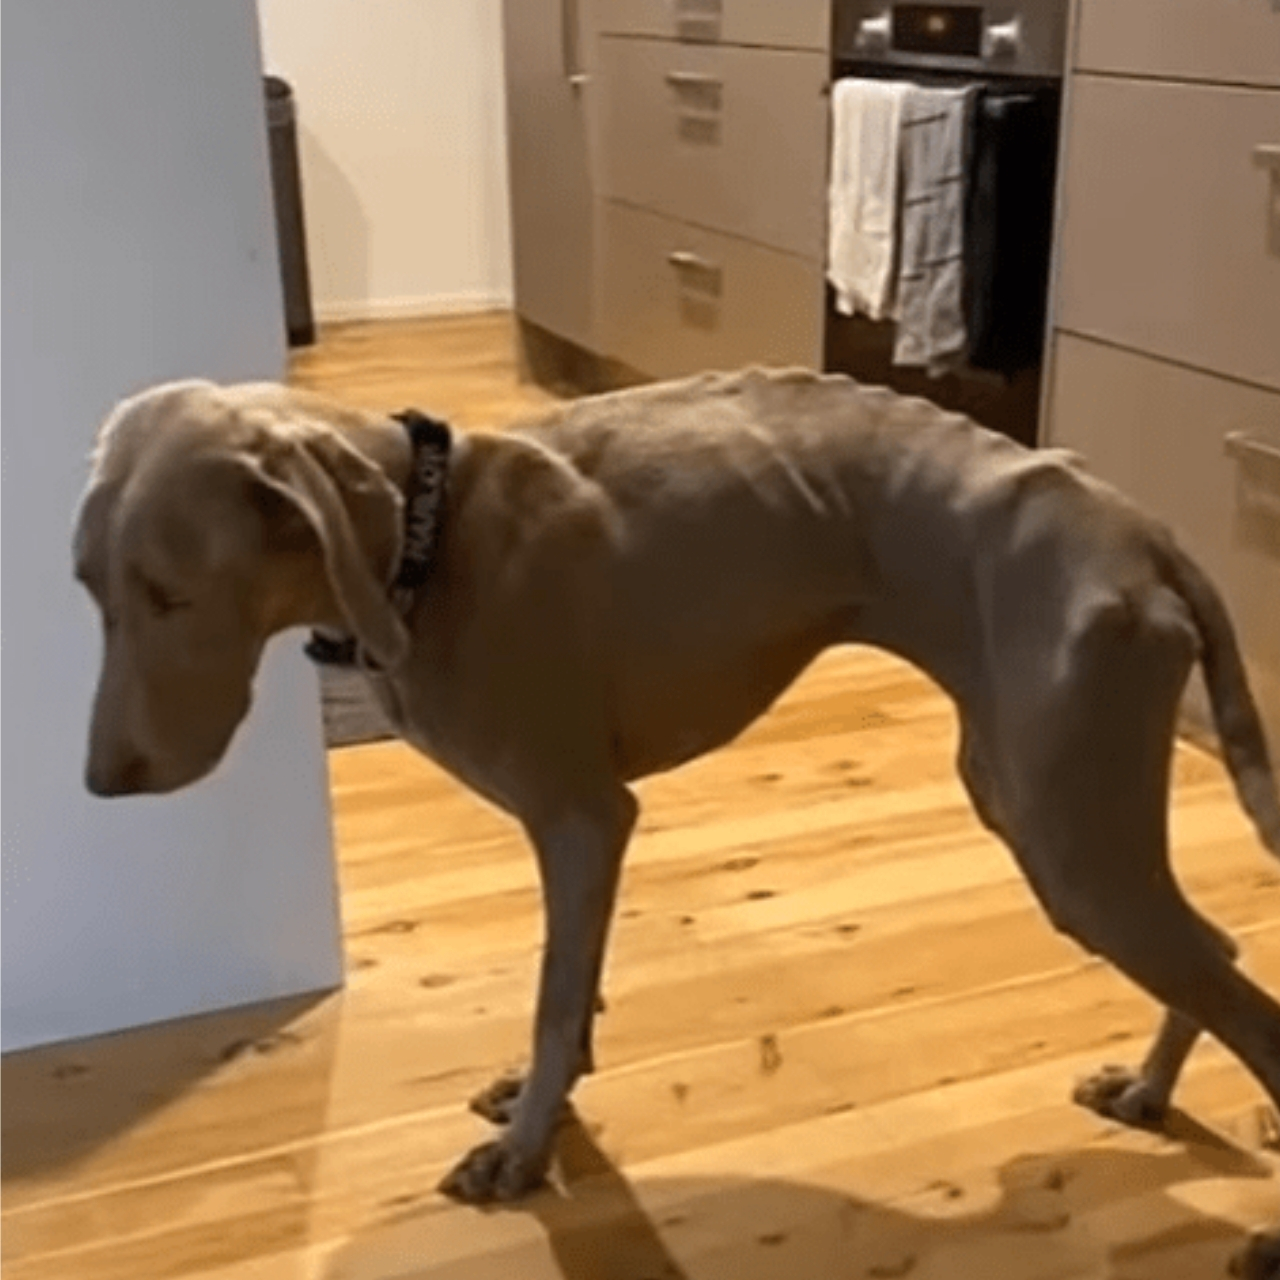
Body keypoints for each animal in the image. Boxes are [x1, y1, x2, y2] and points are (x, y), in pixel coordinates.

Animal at [73, 369, 1280, 1261]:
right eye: (87, 588)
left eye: (172, 594)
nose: (100, 782)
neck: (431, 535)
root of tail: (1139, 527)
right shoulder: (585, 833)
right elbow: (574, 993)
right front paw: (544, 1101)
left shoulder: (582, 816)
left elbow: (554, 996)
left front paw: (523, 1152)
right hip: (1046, 803)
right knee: (1215, 954)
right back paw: (1146, 1089)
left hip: (1065, 830)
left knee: (1244, 1004)